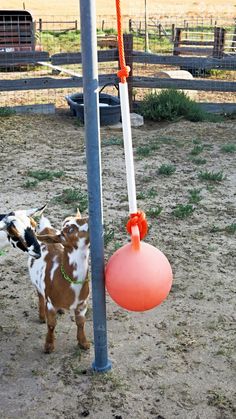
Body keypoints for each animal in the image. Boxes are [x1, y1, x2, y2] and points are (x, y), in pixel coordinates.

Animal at [27, 212, 90, 352]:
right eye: (70, 230)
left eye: (83, 217)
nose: (90, 220)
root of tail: (46, 229)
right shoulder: (51, 303)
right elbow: (51, 324)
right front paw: (49, 345)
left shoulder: (82, 304)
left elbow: (81, 323)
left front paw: (83, 342)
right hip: (36, 283)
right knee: (40, 296)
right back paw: (41, 316)